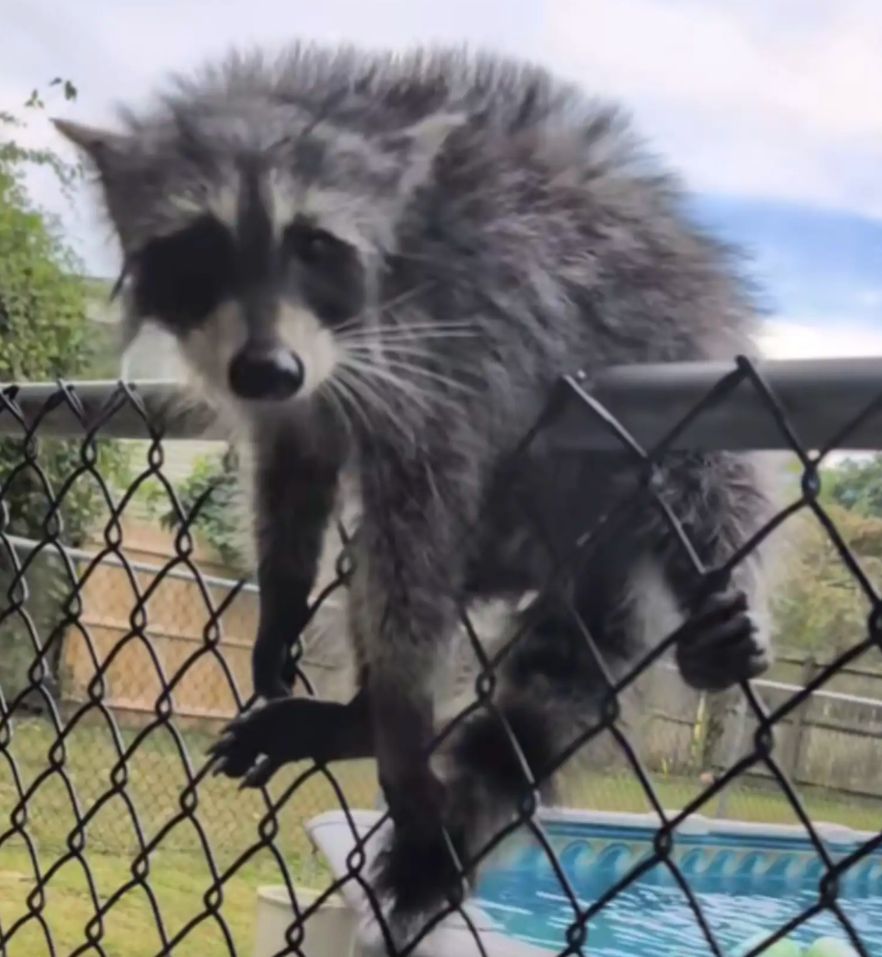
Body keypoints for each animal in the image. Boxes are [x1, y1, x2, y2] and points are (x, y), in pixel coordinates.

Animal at [57, 43, 777, 928]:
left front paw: (401, 739)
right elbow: (296, 464)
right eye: (200, 246)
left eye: (314, 245)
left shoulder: (451, 347)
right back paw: (354, 716)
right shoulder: (307, 383)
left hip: (679, 374)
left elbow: (414, 535)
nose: (267, 370)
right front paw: (285, 597)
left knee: (707, 480)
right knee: (387, 570)